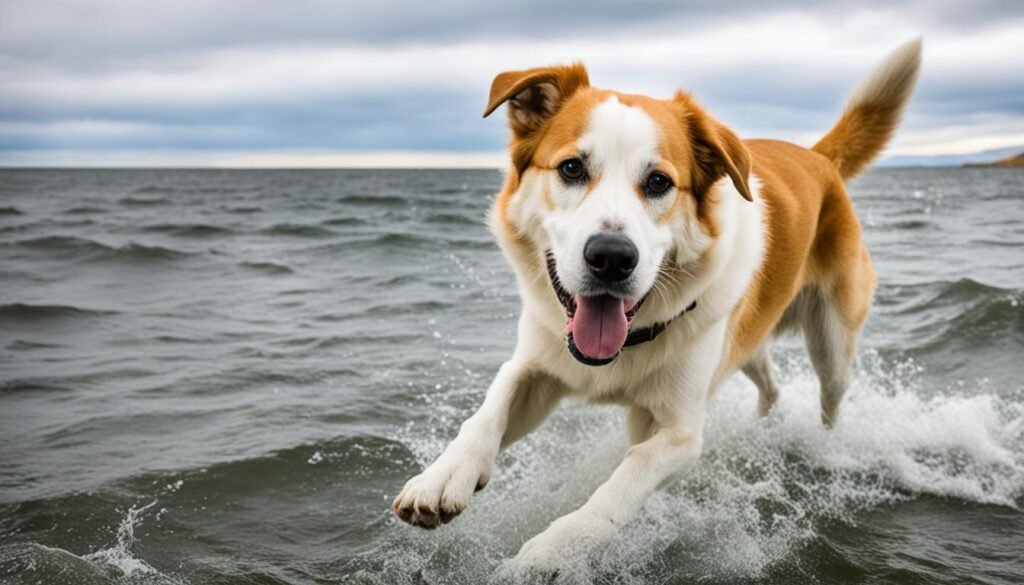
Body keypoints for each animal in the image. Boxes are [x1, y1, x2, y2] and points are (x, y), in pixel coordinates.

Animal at [389, 39, 921, 569]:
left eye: (660, 182)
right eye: (571, 168)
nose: (611, 257)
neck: (623, 348)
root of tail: (815, 156)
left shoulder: (679, 434)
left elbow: (627, 477)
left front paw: (556, 551)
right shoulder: (538, 366)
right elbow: (491, 406)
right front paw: (444, 475)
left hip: (832, 342)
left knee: (830, 397)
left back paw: (826, 450)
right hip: (744, 340)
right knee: (769, 382)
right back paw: (761, 426)